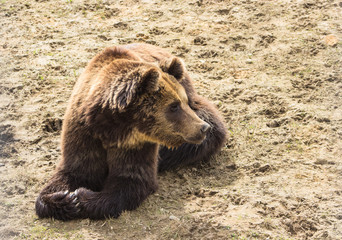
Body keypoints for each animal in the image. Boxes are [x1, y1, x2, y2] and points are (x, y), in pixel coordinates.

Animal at [35, 43, 227, 219]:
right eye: (174, 106)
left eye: (182, 102)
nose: (202, 128)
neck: (112, 130)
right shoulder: (83, 133)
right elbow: (74, 172)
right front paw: (64, 198)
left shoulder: (135, 144)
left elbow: (130, 180)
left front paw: (82, 197)